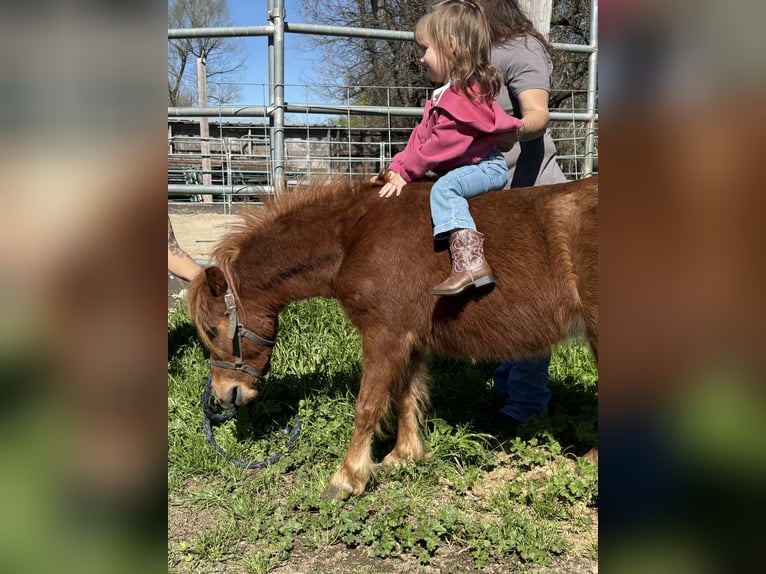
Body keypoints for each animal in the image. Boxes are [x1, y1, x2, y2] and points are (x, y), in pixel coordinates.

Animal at [186, 175, 598, 499]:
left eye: (213, 329)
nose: (224, 394)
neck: (355, 235)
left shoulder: (384, 335)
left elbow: (367, 406)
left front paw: (347, 477)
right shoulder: (409, 339)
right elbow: (407, 396)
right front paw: (404, 456)